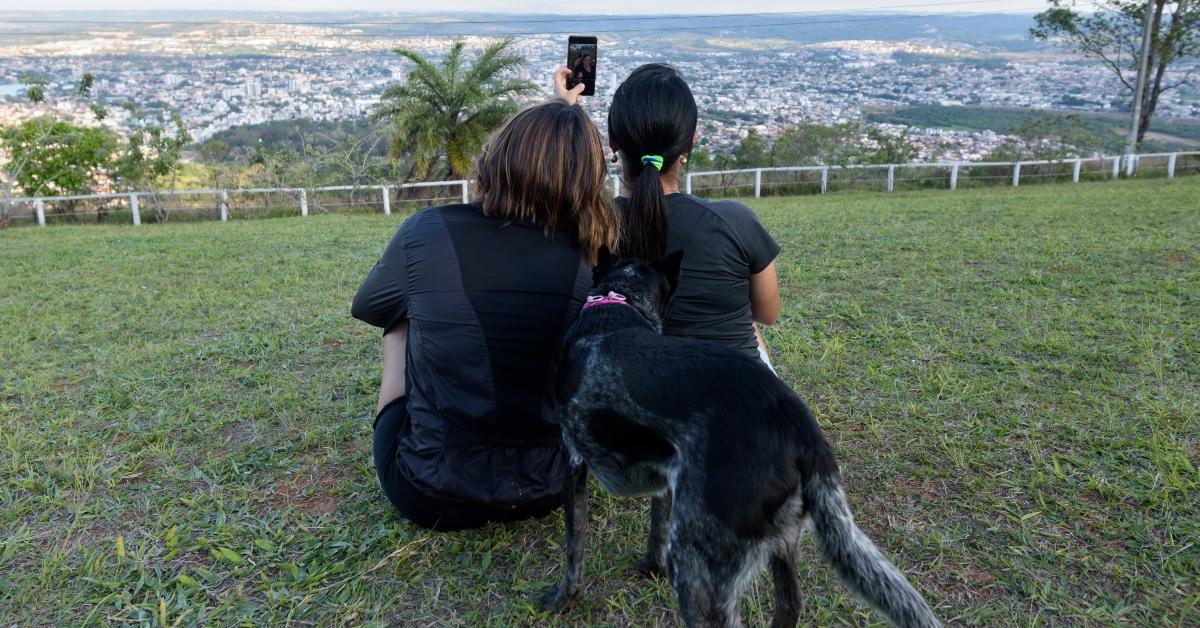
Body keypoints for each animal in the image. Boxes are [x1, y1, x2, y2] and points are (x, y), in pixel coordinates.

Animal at [540, 252, 940, 628]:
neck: (618, 301)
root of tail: (797, 422)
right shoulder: (666, 479)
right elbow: (655, 530)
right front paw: (649, 567)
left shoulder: (575, 465)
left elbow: (575, 549)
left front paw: (563, 599)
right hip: (781, 541)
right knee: (791, 606)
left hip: (696, 569)